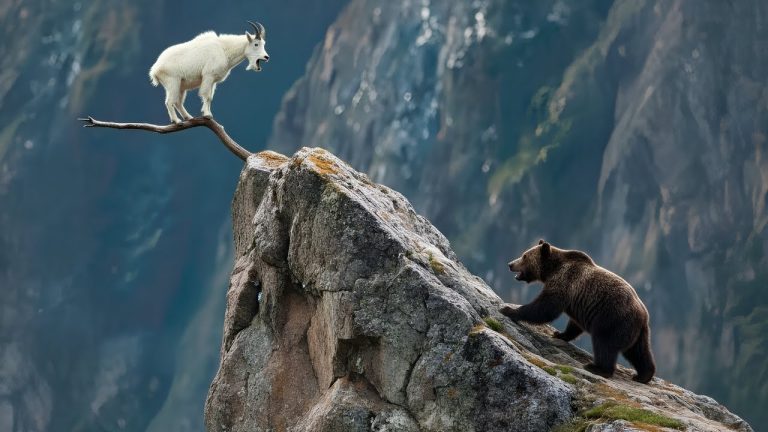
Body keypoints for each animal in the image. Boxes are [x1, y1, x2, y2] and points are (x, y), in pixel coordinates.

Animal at [499, 240, 656, 384]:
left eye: (524, 256)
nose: (510, 264)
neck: (551, 269)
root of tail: (643, 315)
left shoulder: (564, 282)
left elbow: (545, 307)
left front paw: (509, 310)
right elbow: (574, 324)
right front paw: (559, 334)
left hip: (613, 320)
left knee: (604, 344)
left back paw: (597, 368)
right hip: (637, 332)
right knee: (639, 352)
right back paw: (643, 375)